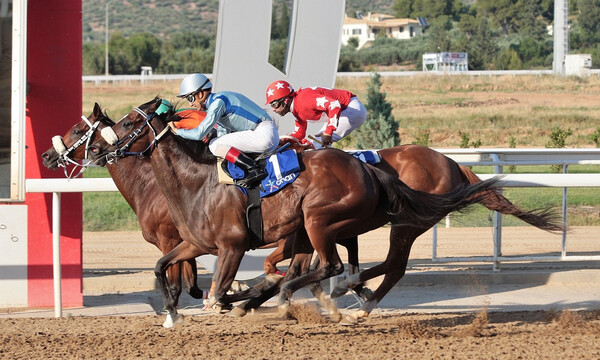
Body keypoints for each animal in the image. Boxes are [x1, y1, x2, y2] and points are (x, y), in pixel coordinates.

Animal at [85, 97, 506, 326]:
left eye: (127, 122)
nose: (100, 150)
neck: (197, 181)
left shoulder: (233, 246)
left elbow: (219, 291)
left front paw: (238, 301)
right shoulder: (194, 243)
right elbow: (163, 268)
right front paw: (173, 313)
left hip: (329, 220)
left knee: (348, 266)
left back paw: (337, 297)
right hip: (316, 225)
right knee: (349, 267)